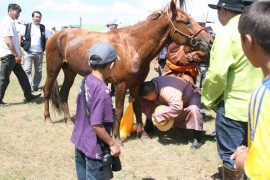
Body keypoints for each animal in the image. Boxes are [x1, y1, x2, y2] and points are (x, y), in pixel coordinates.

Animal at [43, 0, 213, 141]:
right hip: (53, 70)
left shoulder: (136, 85)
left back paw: (68, 120)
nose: (210, 41)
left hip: (70, 71)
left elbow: (137, 108)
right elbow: (118, 110)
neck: (133, 46)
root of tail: (58, 34)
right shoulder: (120, 84)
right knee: (46, 91)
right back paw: (48, 119)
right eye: (186, 22)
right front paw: (117, 138)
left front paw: (143, 134)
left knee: (64, 93)